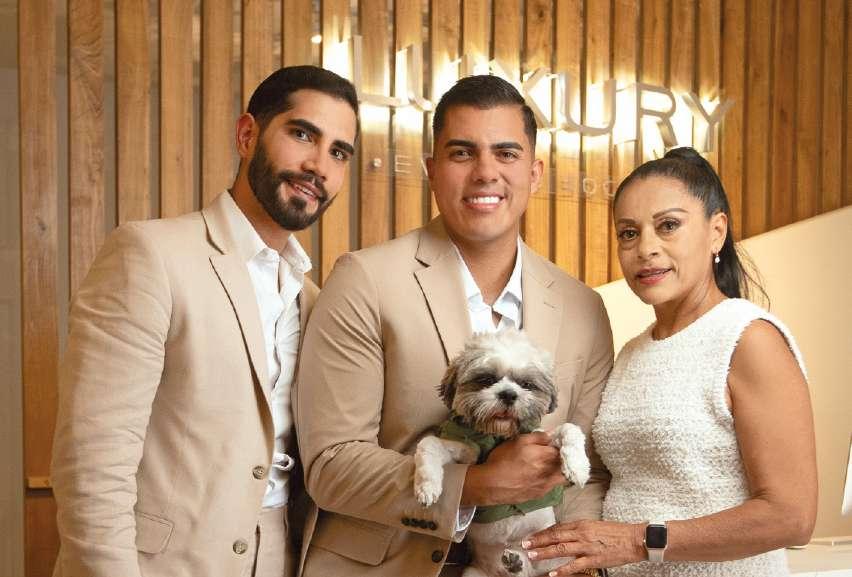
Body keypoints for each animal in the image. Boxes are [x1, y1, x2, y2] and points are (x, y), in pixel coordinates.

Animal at [413, 328, 590, 577]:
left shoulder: (538, 437)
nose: (508, 394)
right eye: (486, 379)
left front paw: (577, 467)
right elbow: (429, 443)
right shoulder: (467, 450)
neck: (498, 434)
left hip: (554, 557)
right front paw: (427, 486)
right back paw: (514, 563)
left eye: (526, 384)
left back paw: (517, 562)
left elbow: (570, 428)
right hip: (473, 573)